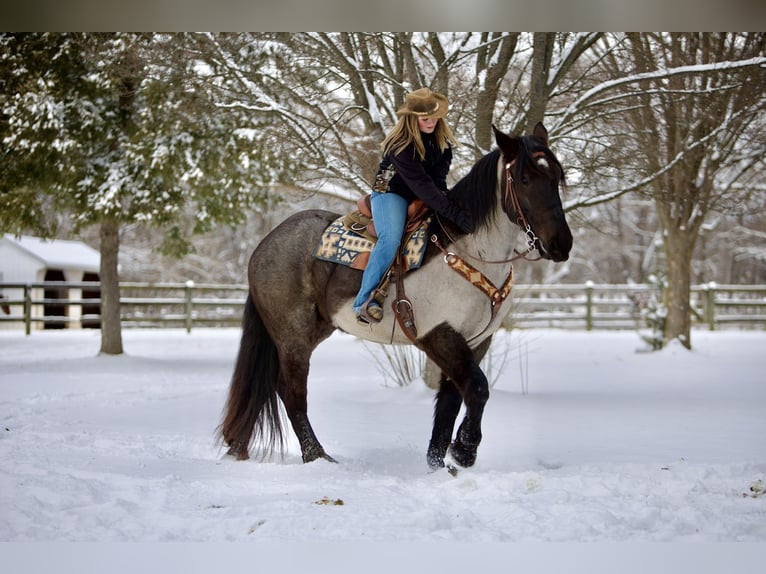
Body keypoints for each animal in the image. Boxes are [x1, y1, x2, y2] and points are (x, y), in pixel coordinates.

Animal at [219, 121, 572, 472]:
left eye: (557, 175)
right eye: (524, 179)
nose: (561, 244)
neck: (470, 252)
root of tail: (263, 245)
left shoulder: (477, 340)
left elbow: (451, 401)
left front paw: (438, 465)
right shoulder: (437, 334)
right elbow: (478, 389)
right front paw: (464, 450)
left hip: (316, 327)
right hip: (292, 332)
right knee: (291, 390)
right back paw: (316, 456)